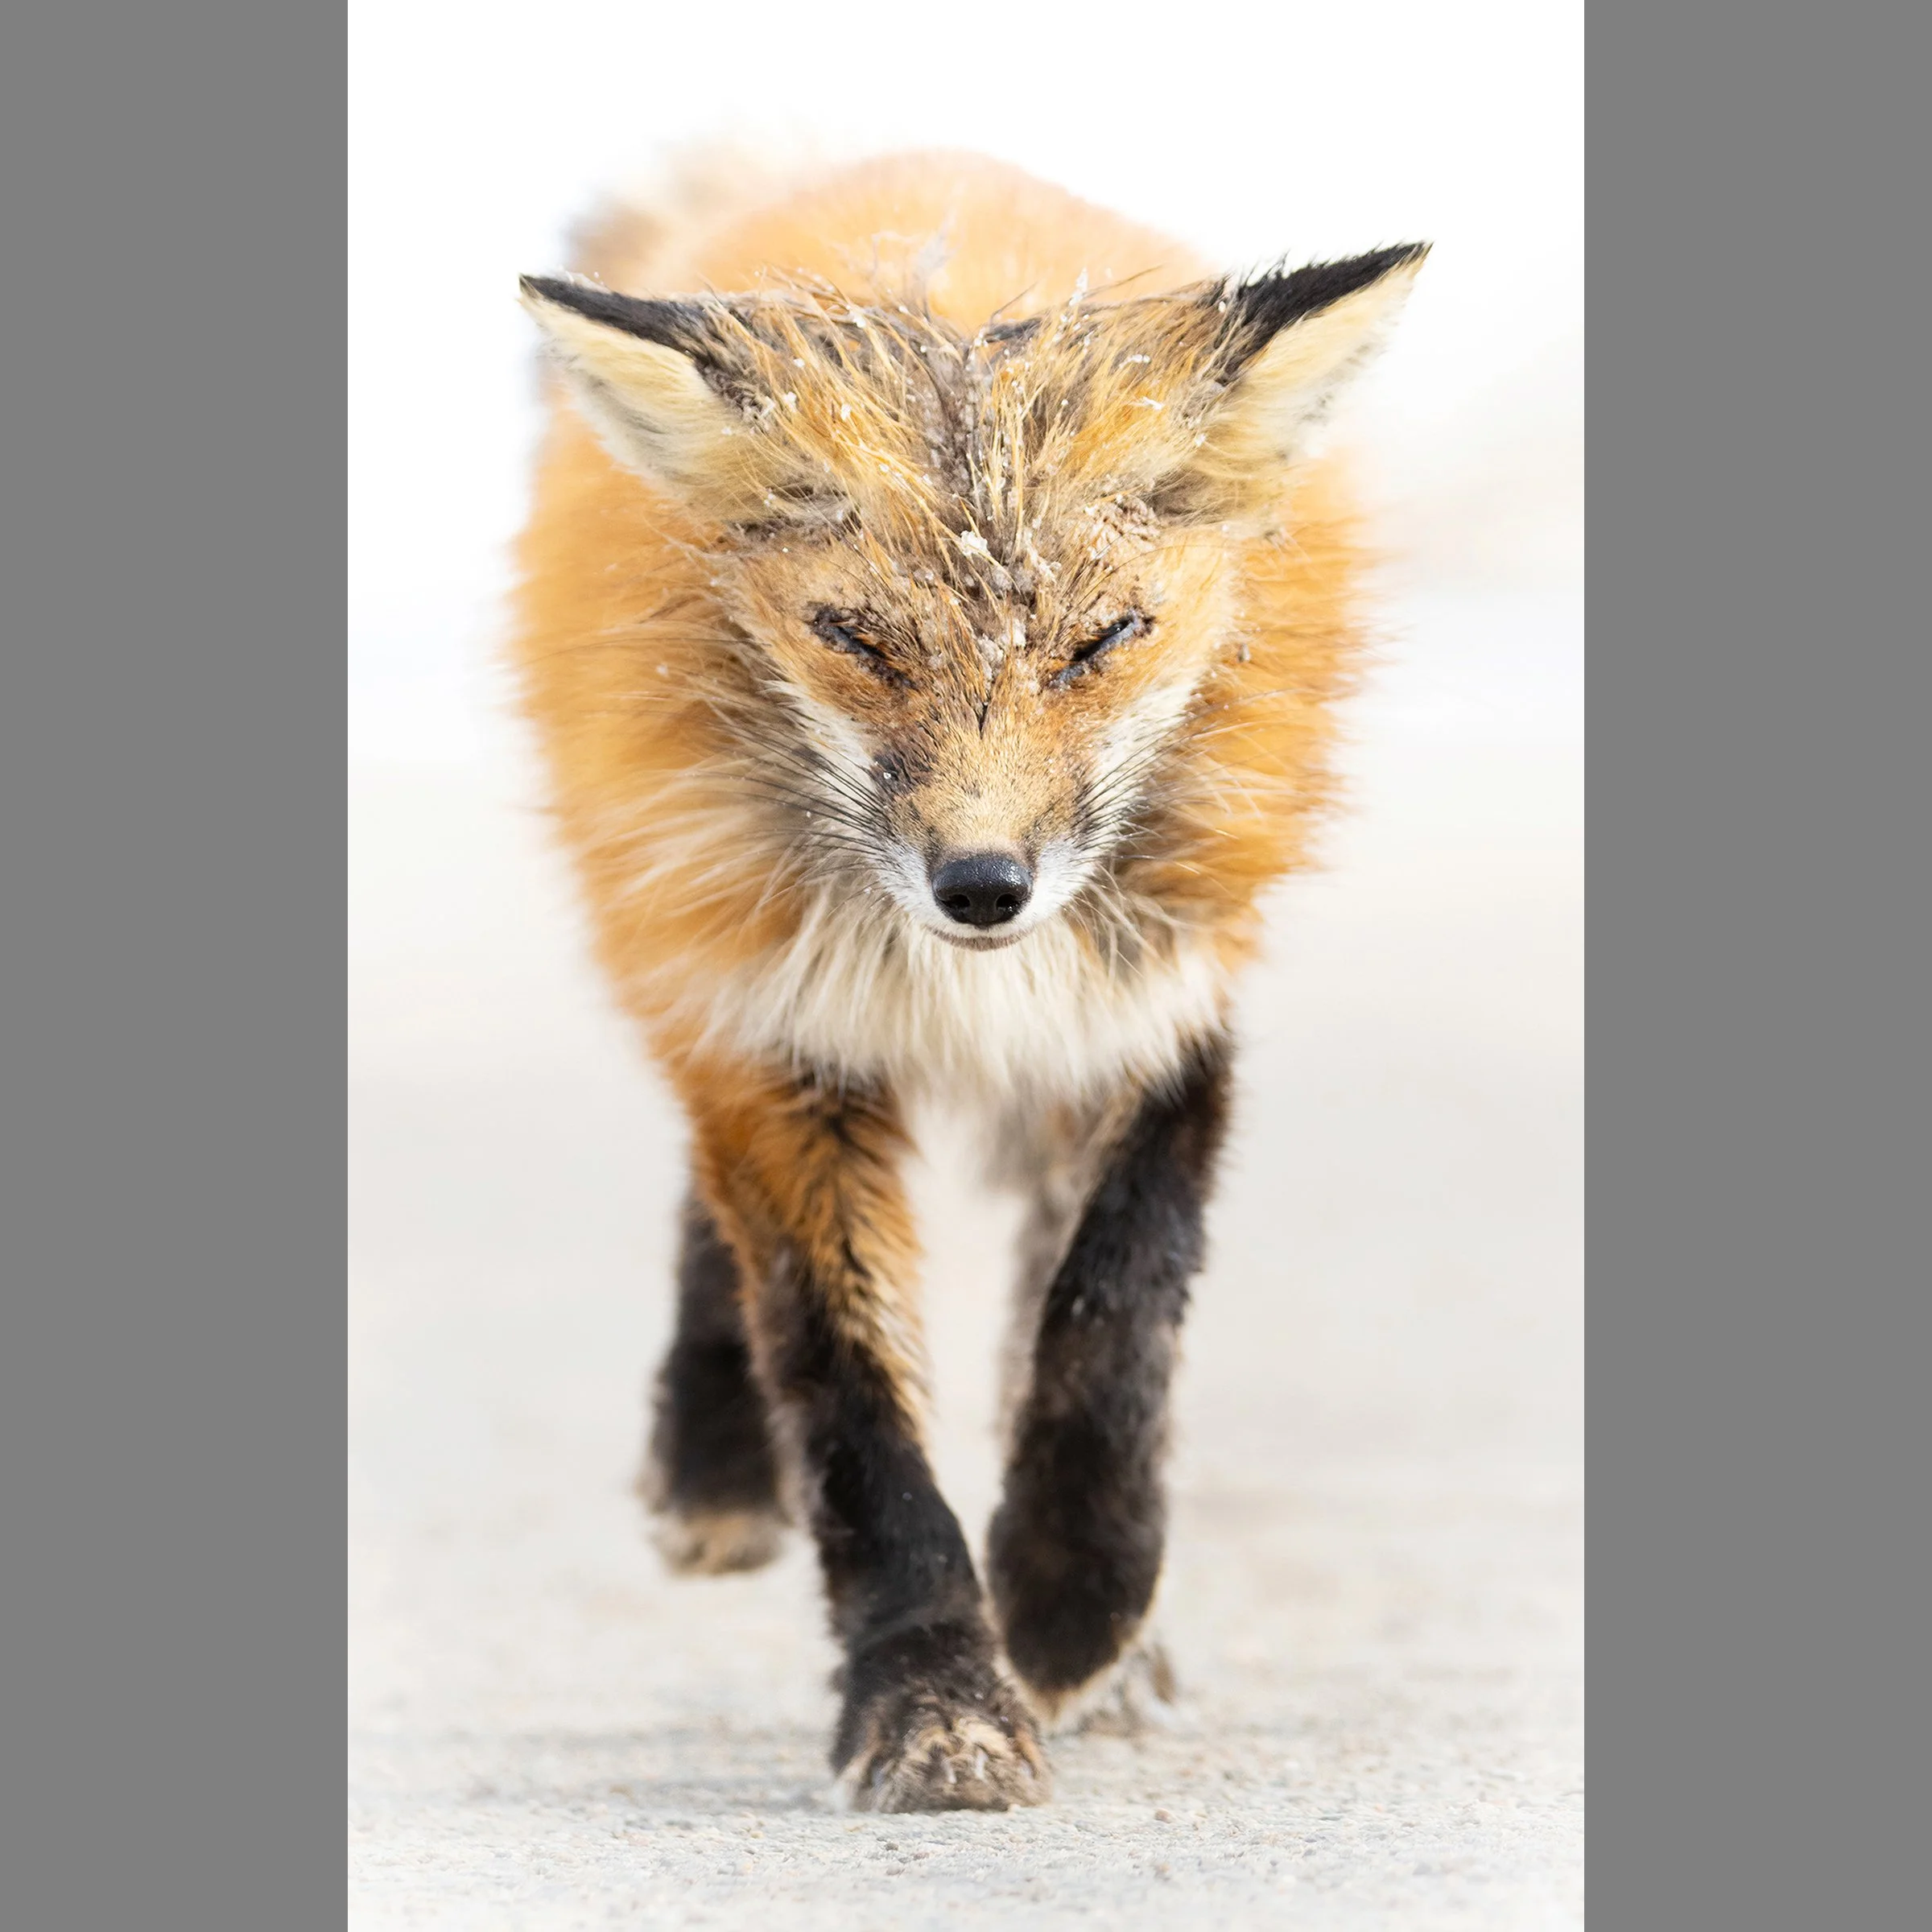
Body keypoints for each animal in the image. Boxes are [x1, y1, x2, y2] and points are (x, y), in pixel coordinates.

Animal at [511, 150, 1425, 1813]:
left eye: (1105, 638)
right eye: (857, 637)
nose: (985, 887)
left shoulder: (1155, 1002)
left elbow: (1111, 1316)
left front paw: (1072, 1594)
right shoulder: (775, 1025)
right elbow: (850, 1400)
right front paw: (932, 1695)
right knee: (715, 1219)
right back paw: (711, 1460)